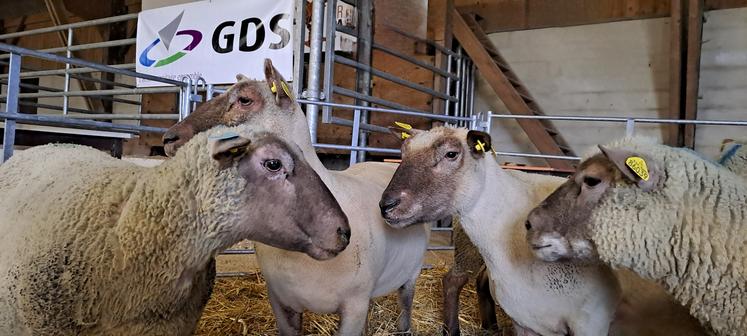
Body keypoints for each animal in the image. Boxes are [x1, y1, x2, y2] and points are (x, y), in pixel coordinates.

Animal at [161, 59, 430, 334]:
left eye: (245, 100)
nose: (169, 138)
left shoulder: (354, 305)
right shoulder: (281, 301)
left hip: (412, 271)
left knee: (406, 300)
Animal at [380, 126, 620, 336]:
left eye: (451, 154)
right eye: (403, 152)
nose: (386, 205)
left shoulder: (591, 321)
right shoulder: (525, 320)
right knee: (454, 281)